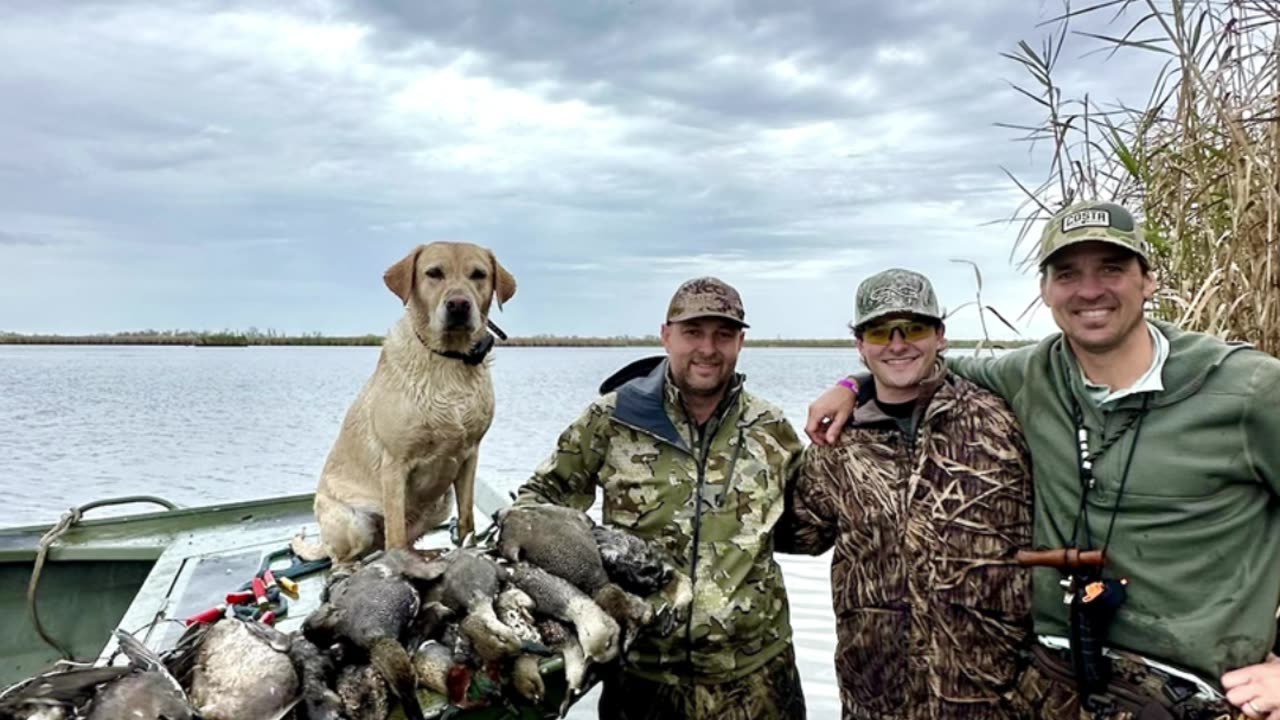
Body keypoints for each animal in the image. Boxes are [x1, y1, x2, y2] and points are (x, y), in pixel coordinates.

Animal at [296, 239, 517, 561]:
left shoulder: (470, 455)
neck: (448, 360)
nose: (459, 305)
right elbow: (396, 532)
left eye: (479, 274)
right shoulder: (395, 464)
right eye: (433, 273)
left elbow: (467, 520)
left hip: (440, 504)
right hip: (354, 523)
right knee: (347, 559)